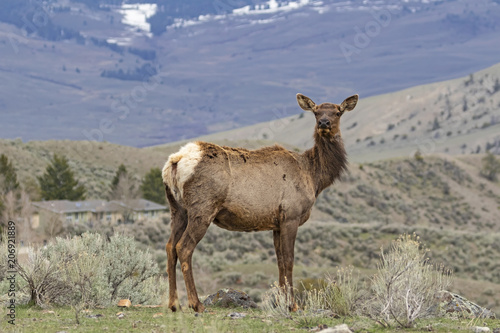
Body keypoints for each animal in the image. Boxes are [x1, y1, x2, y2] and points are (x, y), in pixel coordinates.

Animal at [162, 92, 358, 312]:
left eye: (338, 112)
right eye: (316, 112)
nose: (324, 123)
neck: (314, 177)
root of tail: (175, 161)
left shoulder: (276, 223)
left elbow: (279, 261)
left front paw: (281, 302)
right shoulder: (291, 215)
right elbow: (289, 260)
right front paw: (293, 305)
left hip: (177, 209)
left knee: (170, 246)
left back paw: (173, 303)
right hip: (202, 207)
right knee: (184, 247)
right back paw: (196, 304)